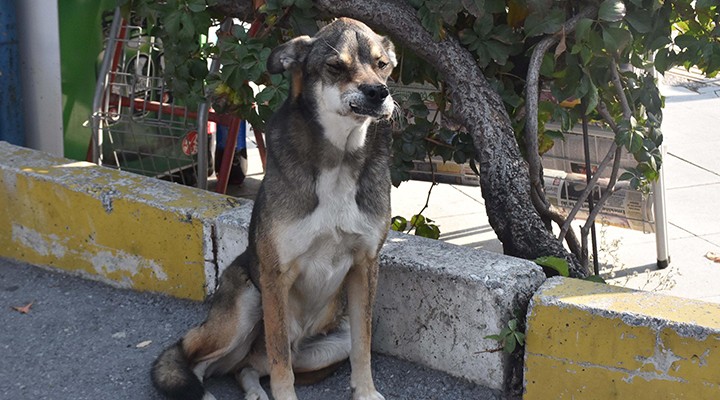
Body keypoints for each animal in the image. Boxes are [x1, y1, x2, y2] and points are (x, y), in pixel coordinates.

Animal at [153, 16, 400, 400]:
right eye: (335, 66)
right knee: (200, 360)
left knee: (247, 367)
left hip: (327, 342)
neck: (340, 157)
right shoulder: (275, 276)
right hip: (246, 305)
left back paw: (255, 390)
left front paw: (366, 391)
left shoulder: (365, 266)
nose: (378, 92)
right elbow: (280, 358)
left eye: (382, 64)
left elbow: (363, 346)